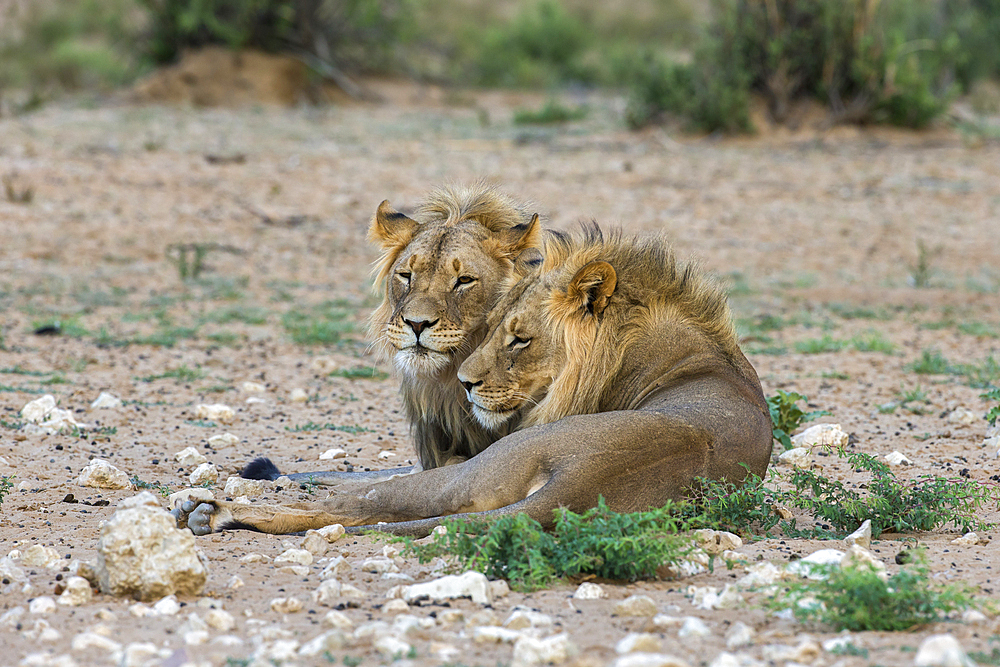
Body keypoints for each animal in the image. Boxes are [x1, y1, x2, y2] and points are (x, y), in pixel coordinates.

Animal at [174, 224, 772, 536]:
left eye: (519, 339)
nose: (462, 383)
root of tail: (583, 486)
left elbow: (362, 481)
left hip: (477, 472)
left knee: (355, 506)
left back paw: (210, 509)